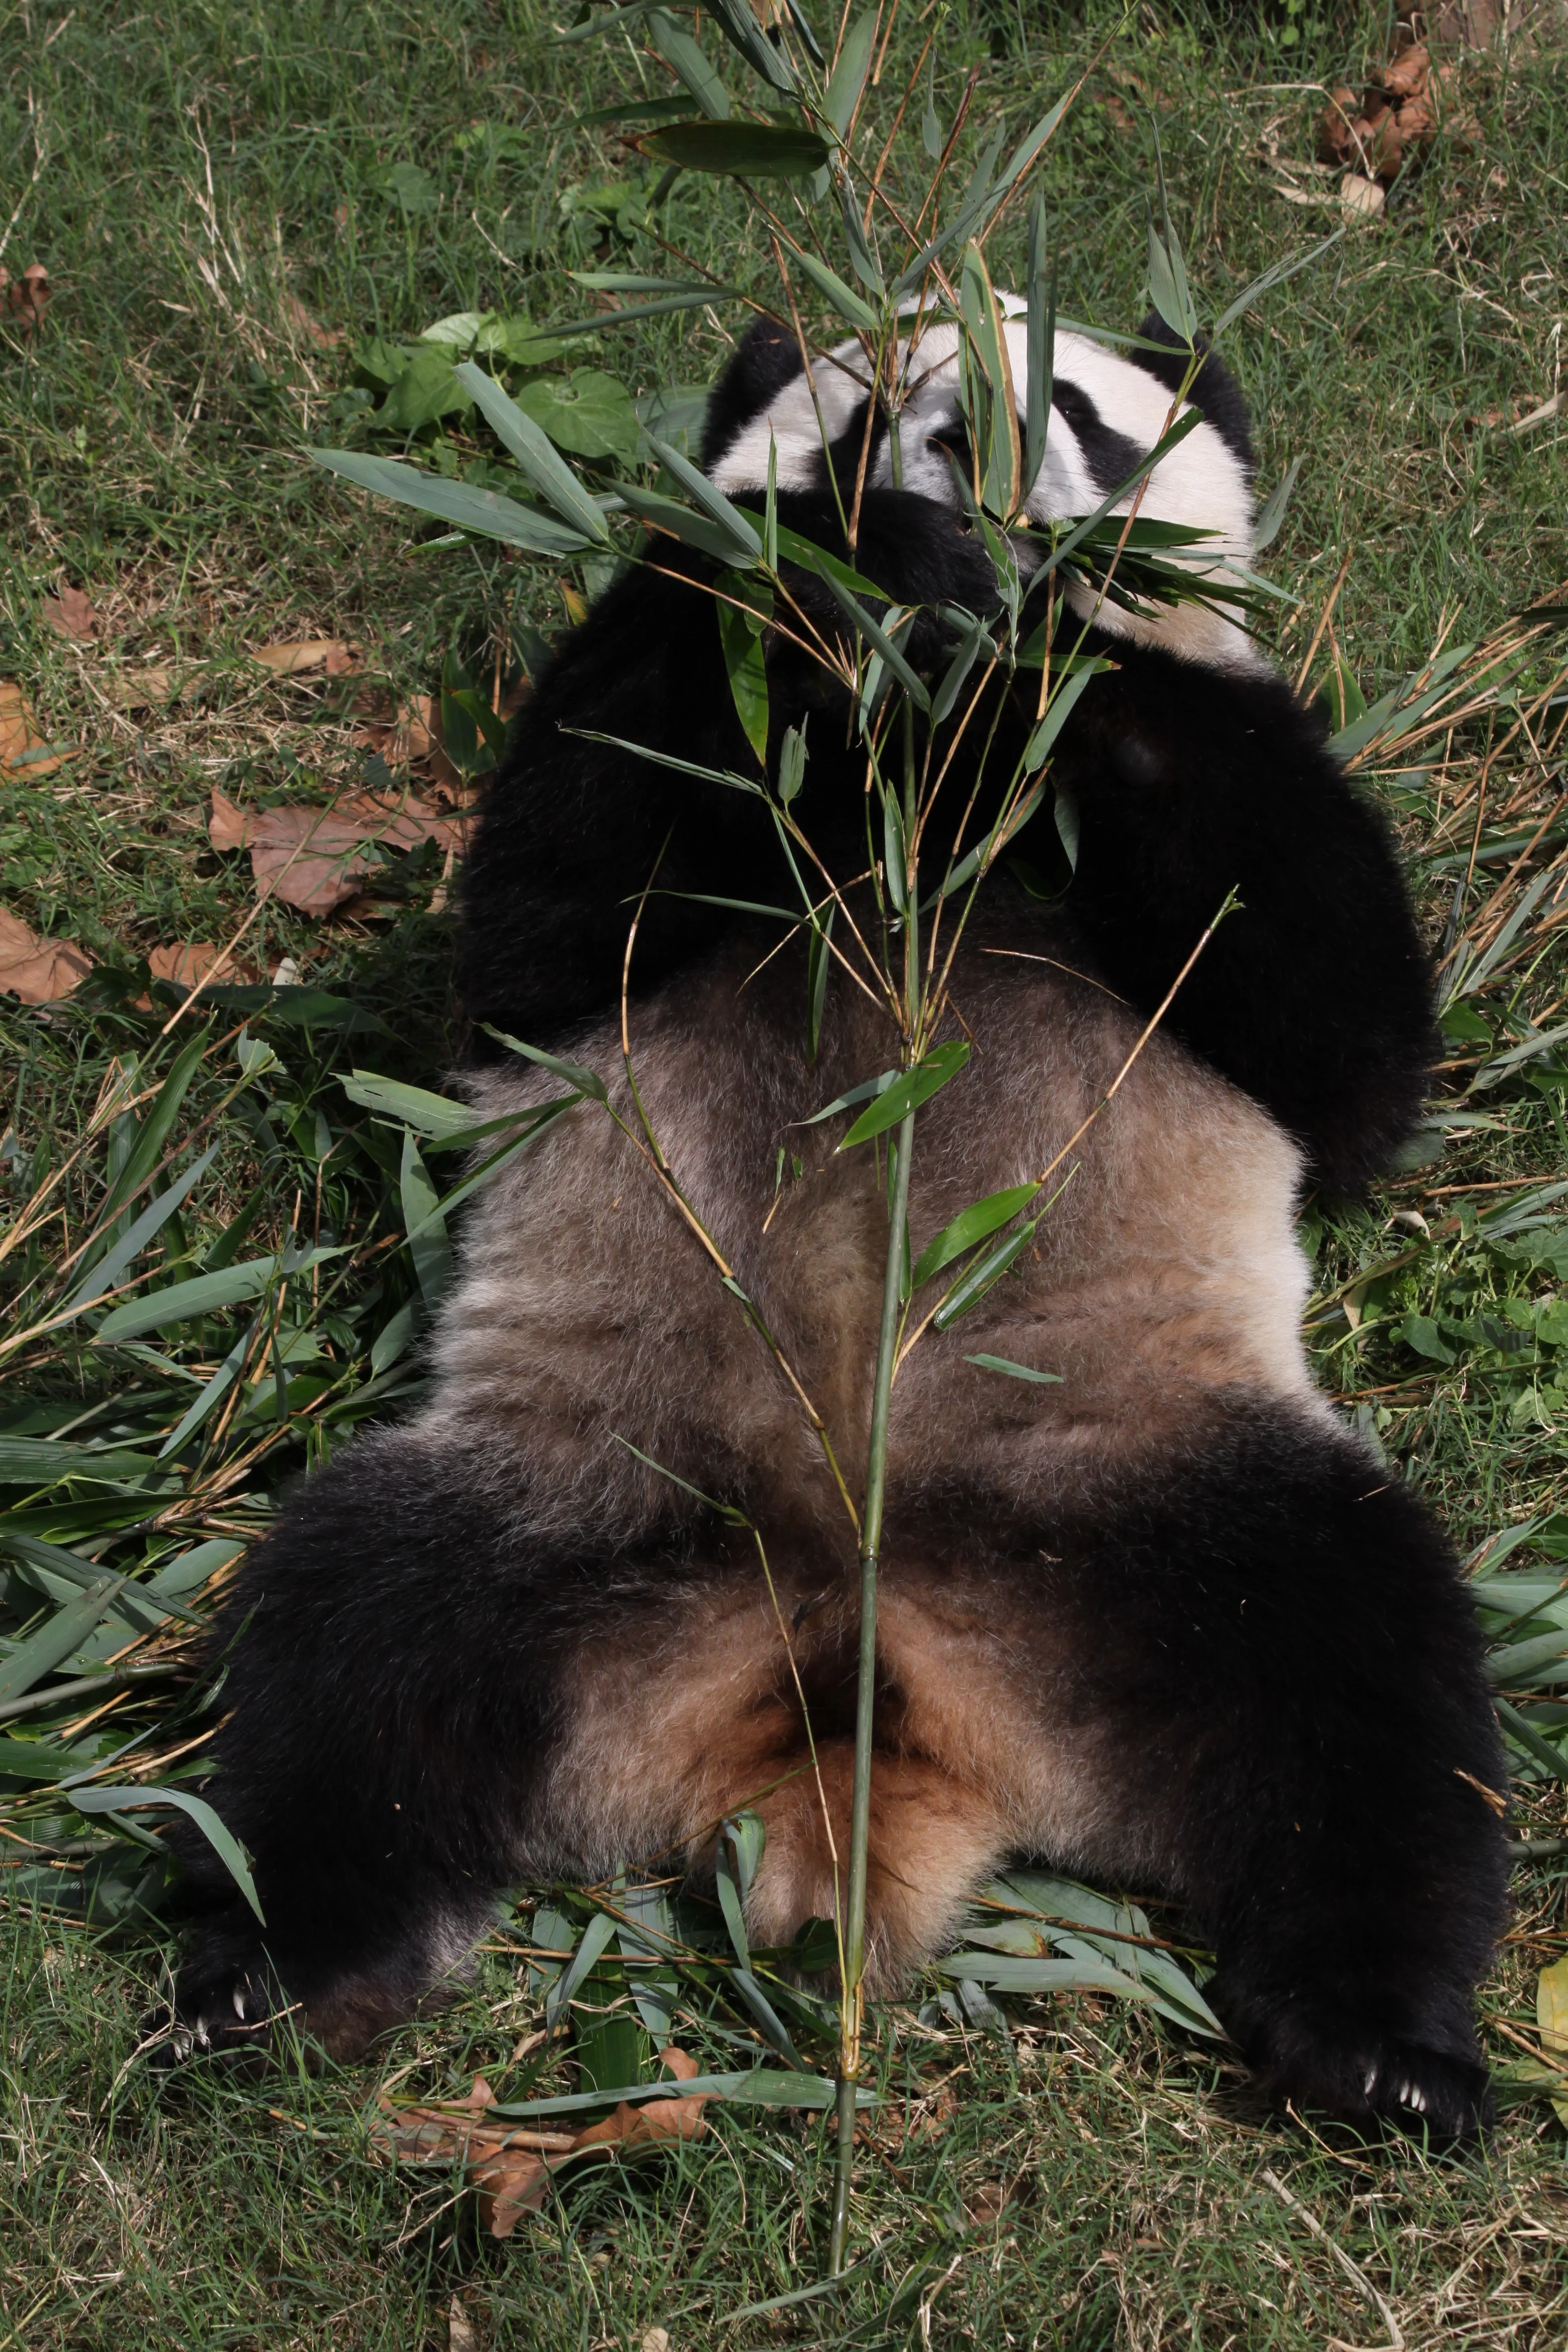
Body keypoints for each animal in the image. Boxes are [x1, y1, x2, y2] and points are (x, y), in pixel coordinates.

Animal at [168, 302, 1507, 2139]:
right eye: (866, 397)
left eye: (1076, 402)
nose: (962, 454)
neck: (927, 771)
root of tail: (857, 1697)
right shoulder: (669, 794)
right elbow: (552, 906)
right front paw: (864, 563)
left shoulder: (1238, 791)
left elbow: (1345, 1045)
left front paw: (1047, 621)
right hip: (585, 1493)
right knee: (357, 1651)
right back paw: (275, 1971)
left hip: (1136, 1485)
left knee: (1366, 1675)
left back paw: (1374, 2045)